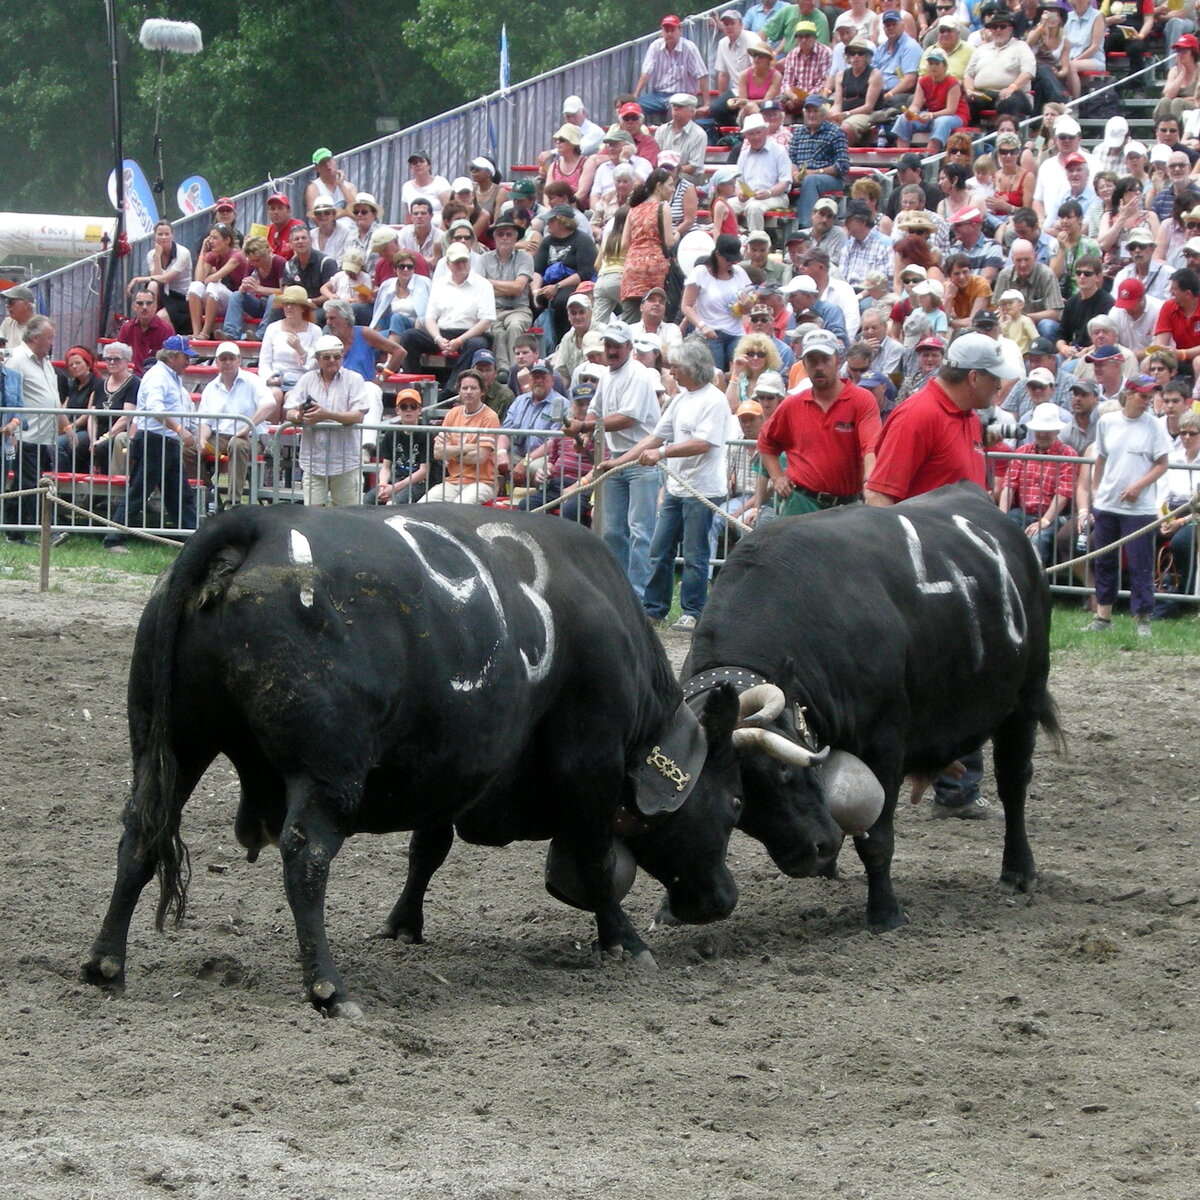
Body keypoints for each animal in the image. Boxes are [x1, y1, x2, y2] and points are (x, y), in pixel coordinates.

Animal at [84, 501, 777, 1017]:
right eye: (734, 800)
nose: (724, 898)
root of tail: (257, 524)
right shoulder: (590, 761)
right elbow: (594, 860)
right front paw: (625, 942)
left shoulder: (448, 764)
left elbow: (428, 849)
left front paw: (403, 924)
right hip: (325, 772)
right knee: (305, 859)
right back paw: (328, 987)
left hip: (172, 746)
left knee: (138, 837)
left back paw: (105, 963)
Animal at [681, 482, 1065, 931]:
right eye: (738, 802)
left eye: (782, 770)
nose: (810, 854)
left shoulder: (885, 745)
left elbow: (877, 839)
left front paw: (884, 911)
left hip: (1025, 700)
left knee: (1014, 784)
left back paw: (1019, 870)